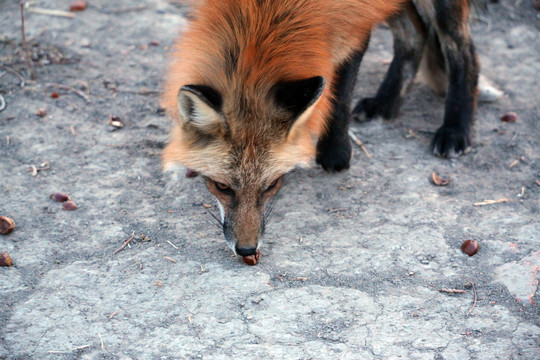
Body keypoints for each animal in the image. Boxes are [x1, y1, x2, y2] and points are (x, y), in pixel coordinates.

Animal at [163, 0, 486, 258]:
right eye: (221, 187)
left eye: (272, 185)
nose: (246, 249)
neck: (265, 11)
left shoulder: (355, 21)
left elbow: (339, 94)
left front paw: (335, 154)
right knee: (415, 35)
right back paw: (385, 103)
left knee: (464, 52)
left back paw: (455, 129)